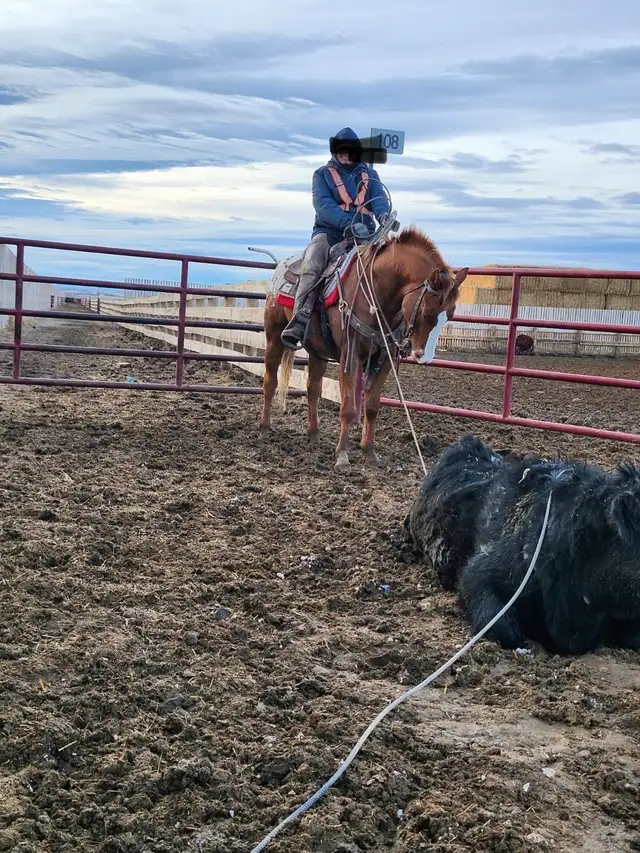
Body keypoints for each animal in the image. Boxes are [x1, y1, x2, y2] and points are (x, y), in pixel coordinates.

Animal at [259, 226, 469, 470]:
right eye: (427, 312)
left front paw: (370, 452)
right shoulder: (350, 355)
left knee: (313, 389)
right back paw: (264, 428)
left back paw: (314, 434)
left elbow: (371, 406)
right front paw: (342, 454)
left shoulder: (385, 359)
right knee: (270, 381)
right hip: (274, 337)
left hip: (317, 351)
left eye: (450, 314)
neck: (377, 293)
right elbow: (348, 408)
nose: (424, 356)